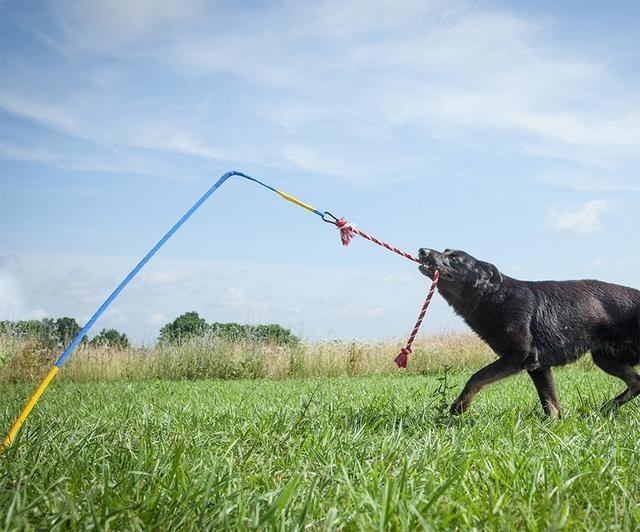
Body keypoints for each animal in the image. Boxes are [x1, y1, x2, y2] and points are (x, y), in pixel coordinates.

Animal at [418, 247, 636, 418]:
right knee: (637, 382)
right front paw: (554, 426)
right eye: (445, 251)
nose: (422, 250)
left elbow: (477, 376)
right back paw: (608, 407)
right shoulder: (539, 367)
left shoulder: (519, 357)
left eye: (455, 259)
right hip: (605, 359)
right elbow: (550, 403)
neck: (493, 296)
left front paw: (460, 406)